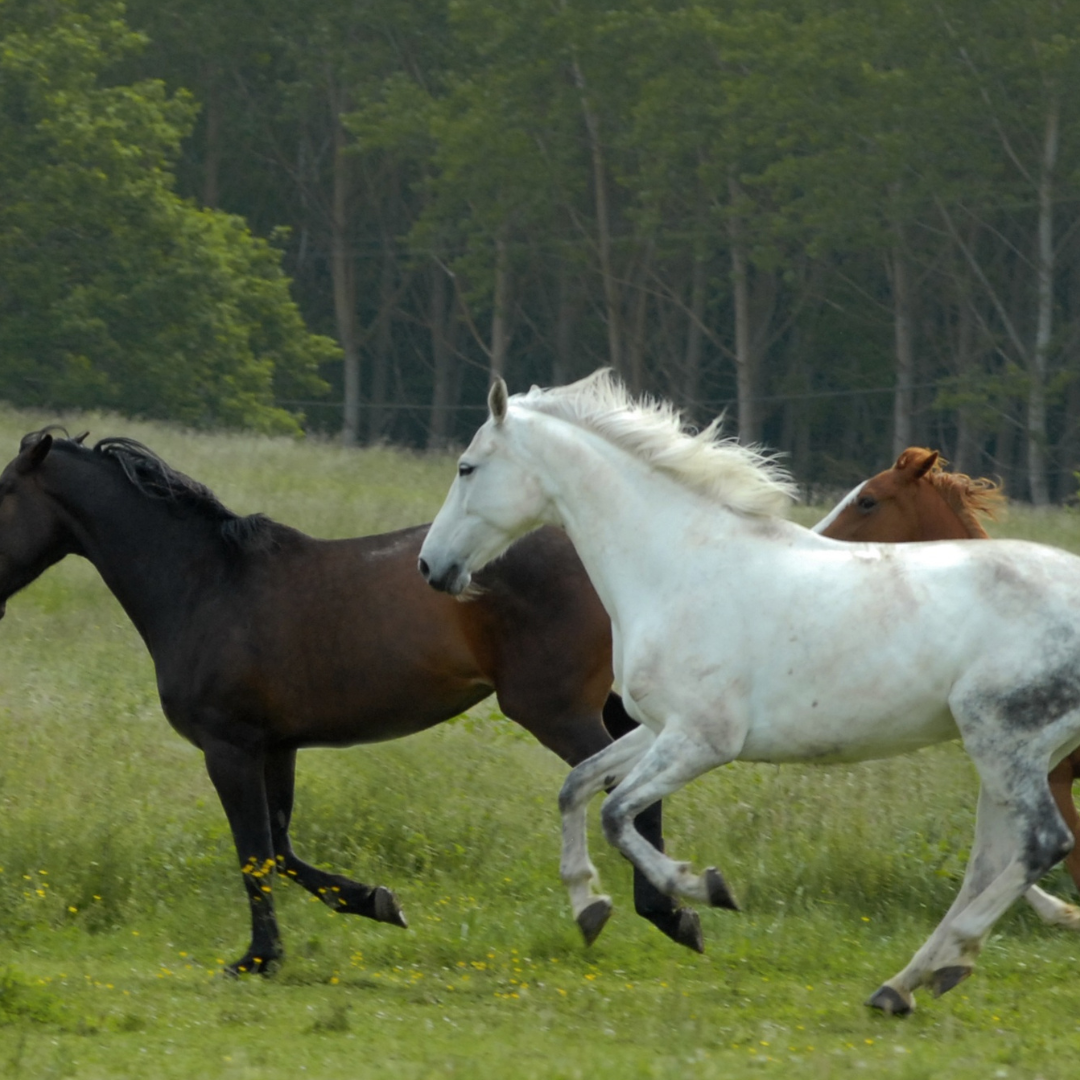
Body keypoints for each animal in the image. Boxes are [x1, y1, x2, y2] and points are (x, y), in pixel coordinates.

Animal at [0, 427, 708, 972]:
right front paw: (376, 902)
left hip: (554, 710)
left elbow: (254, 852)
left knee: (620, 786)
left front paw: (259, 958)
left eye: (3, 491)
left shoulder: (228, 747)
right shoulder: (275, 746)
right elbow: (280, 849)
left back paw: (666, 912)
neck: (204, 585)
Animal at [419, 371, 1080, 1010]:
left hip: (1003, 741)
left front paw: (701, 891)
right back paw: (909, 982)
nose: (430, 567)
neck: (677, 567)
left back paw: (942, 961)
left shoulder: (702, 742)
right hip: (1007, 754)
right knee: (990, 862)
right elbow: (575, 786)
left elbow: (615, 814)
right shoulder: (660, 730)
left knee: (1041, 844)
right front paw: (589, 907)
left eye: (467, 467)